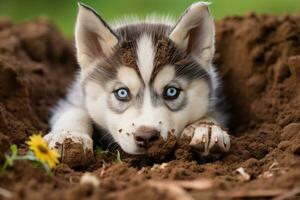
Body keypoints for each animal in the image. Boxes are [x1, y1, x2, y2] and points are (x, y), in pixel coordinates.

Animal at [44, 1, 230, 162]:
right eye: (122, 92)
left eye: (171, 91)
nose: (146, 137)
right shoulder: (74, 97)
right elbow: (75, 112)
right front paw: (69, 136)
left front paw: (206, 128)